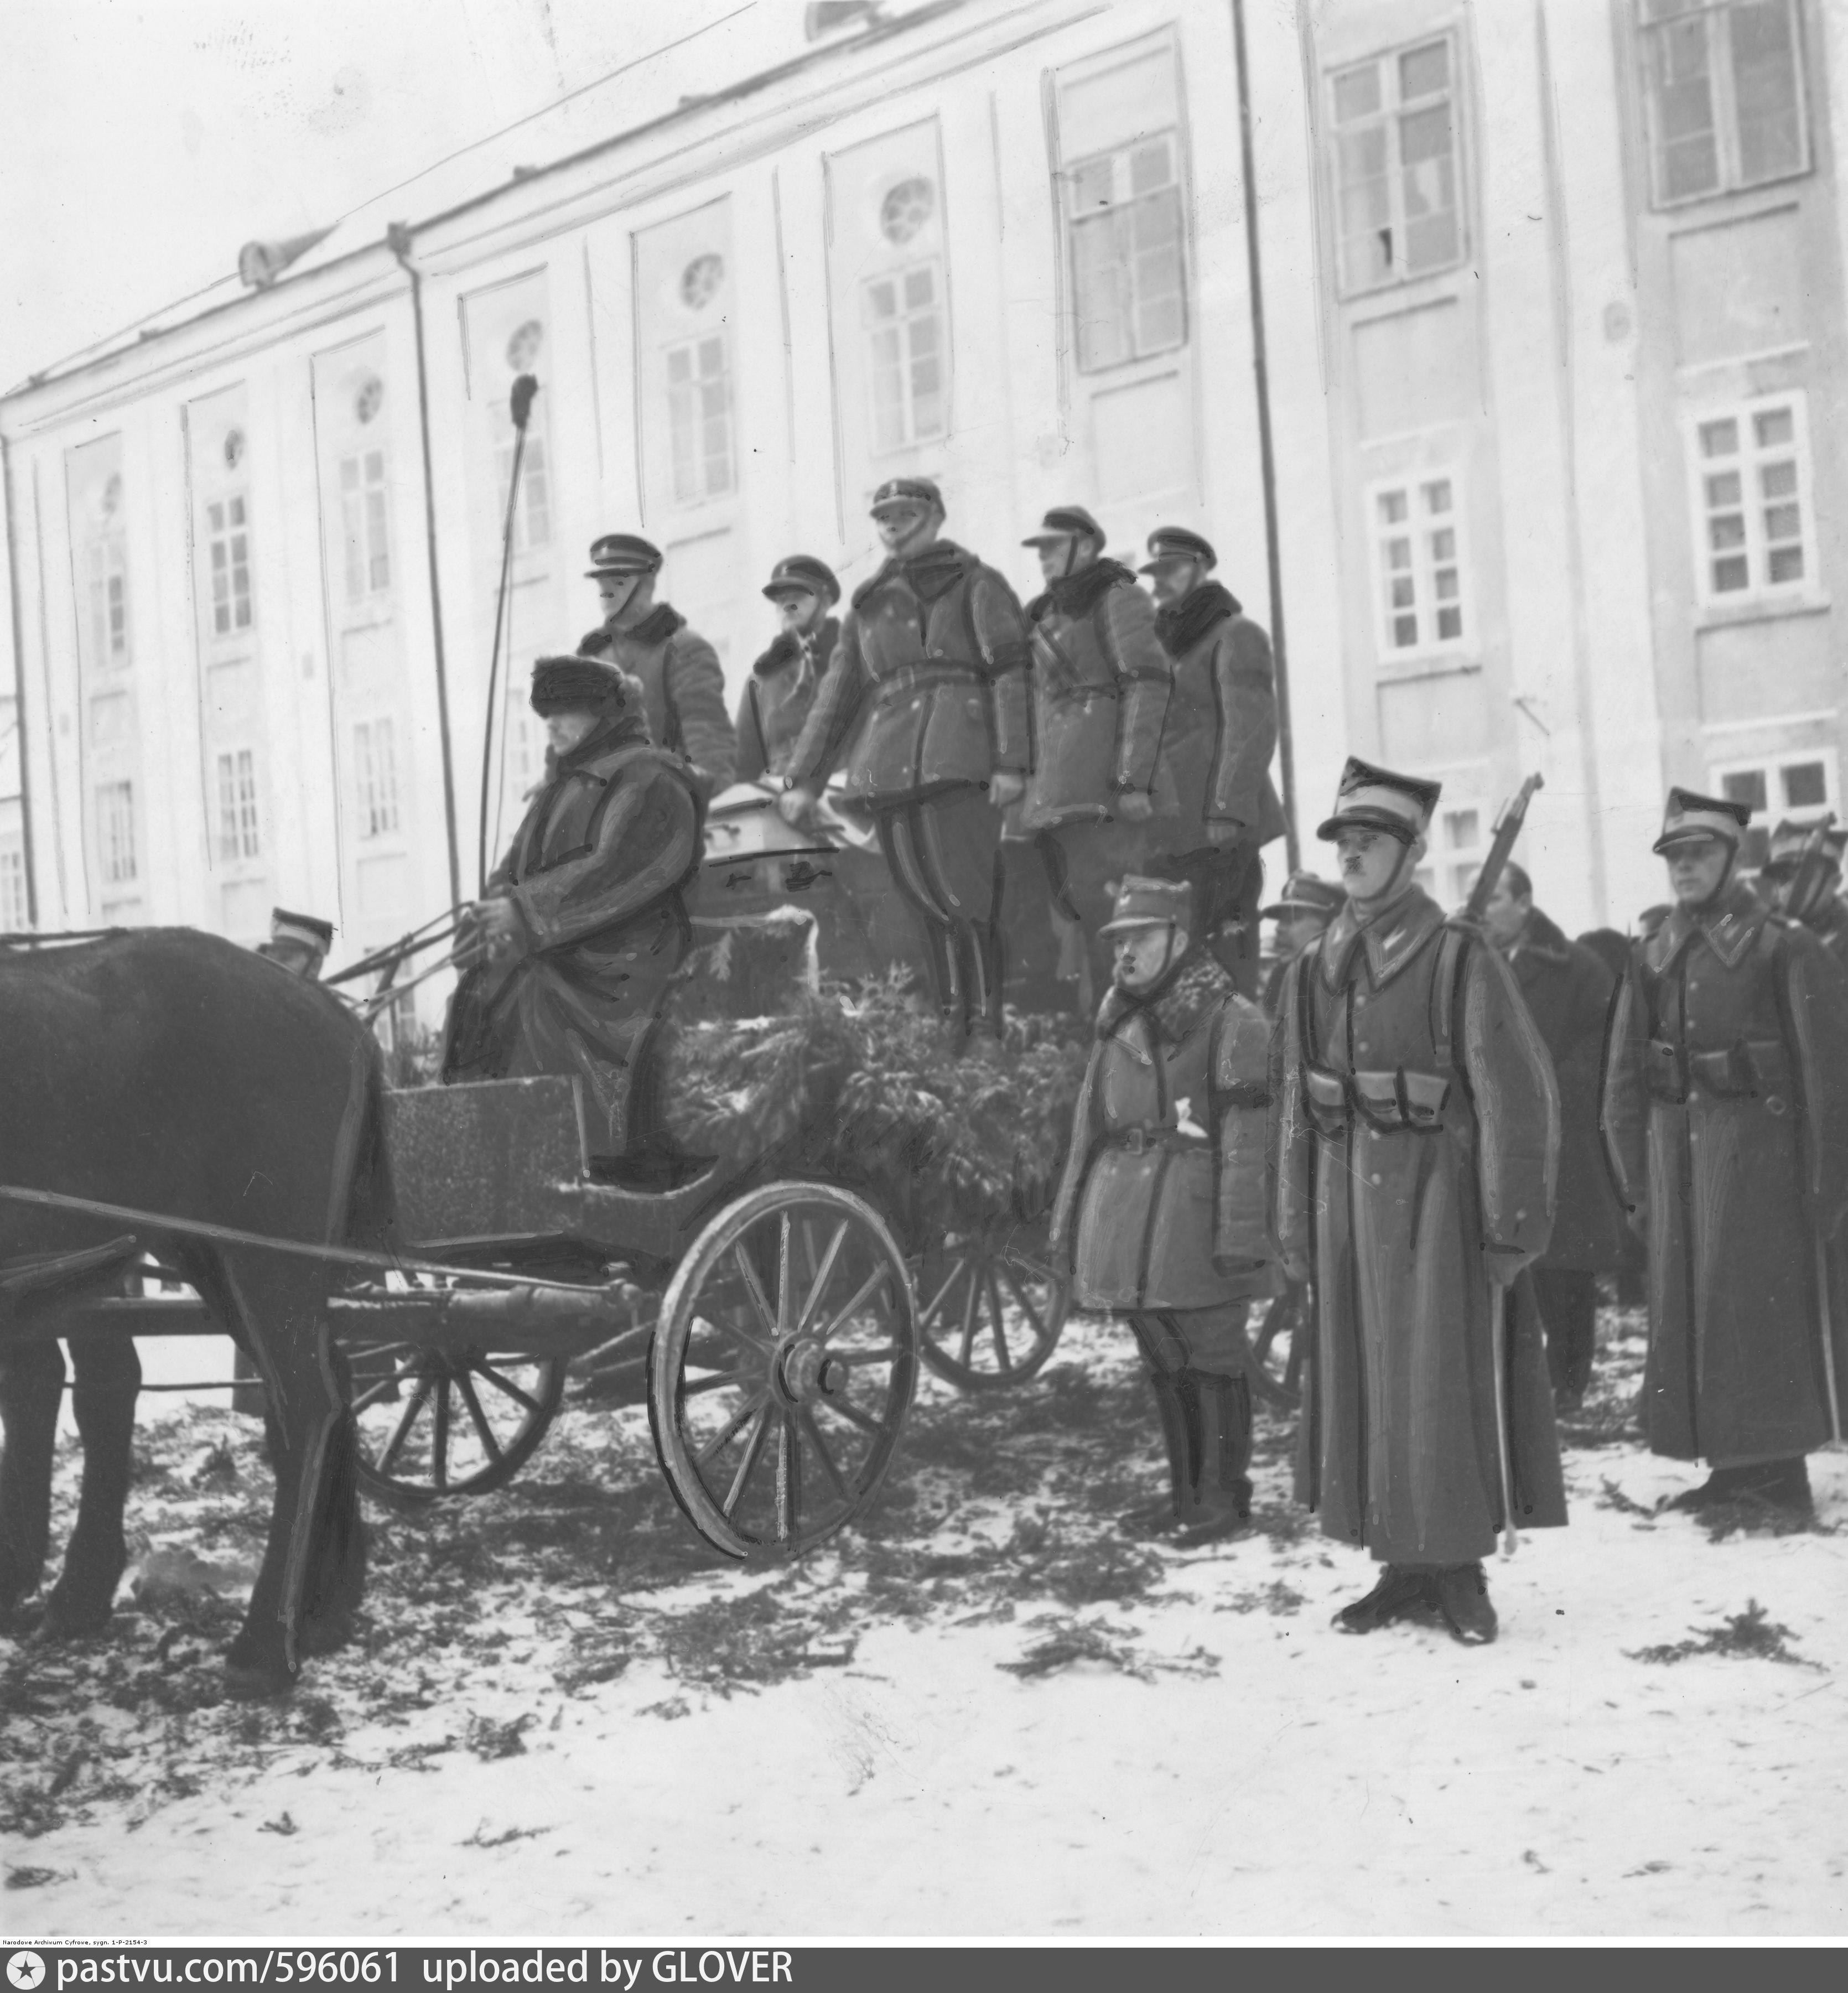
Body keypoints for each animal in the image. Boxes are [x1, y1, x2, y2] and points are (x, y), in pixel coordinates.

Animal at [0, 932, 391, 1698]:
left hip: (265, 1253)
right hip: (205, 1252)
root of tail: (336, 1014)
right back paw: (325, 1608)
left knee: (306, 1401)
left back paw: (266, 1642)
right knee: (321, 1381)